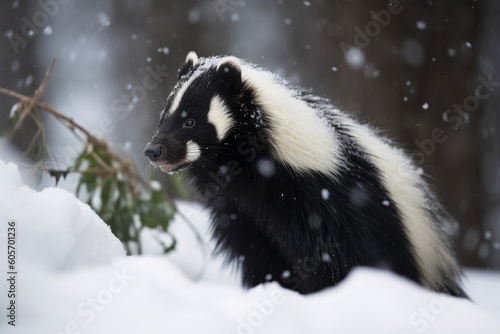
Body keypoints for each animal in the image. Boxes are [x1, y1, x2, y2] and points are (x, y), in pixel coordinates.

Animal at [145, 52, 468, 298]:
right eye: (163, 118)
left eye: (190, 121)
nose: (153, 150)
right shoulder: (241, 213)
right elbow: (257, 255)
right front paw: (270, 289)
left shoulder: (332, 206)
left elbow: (336, 262)